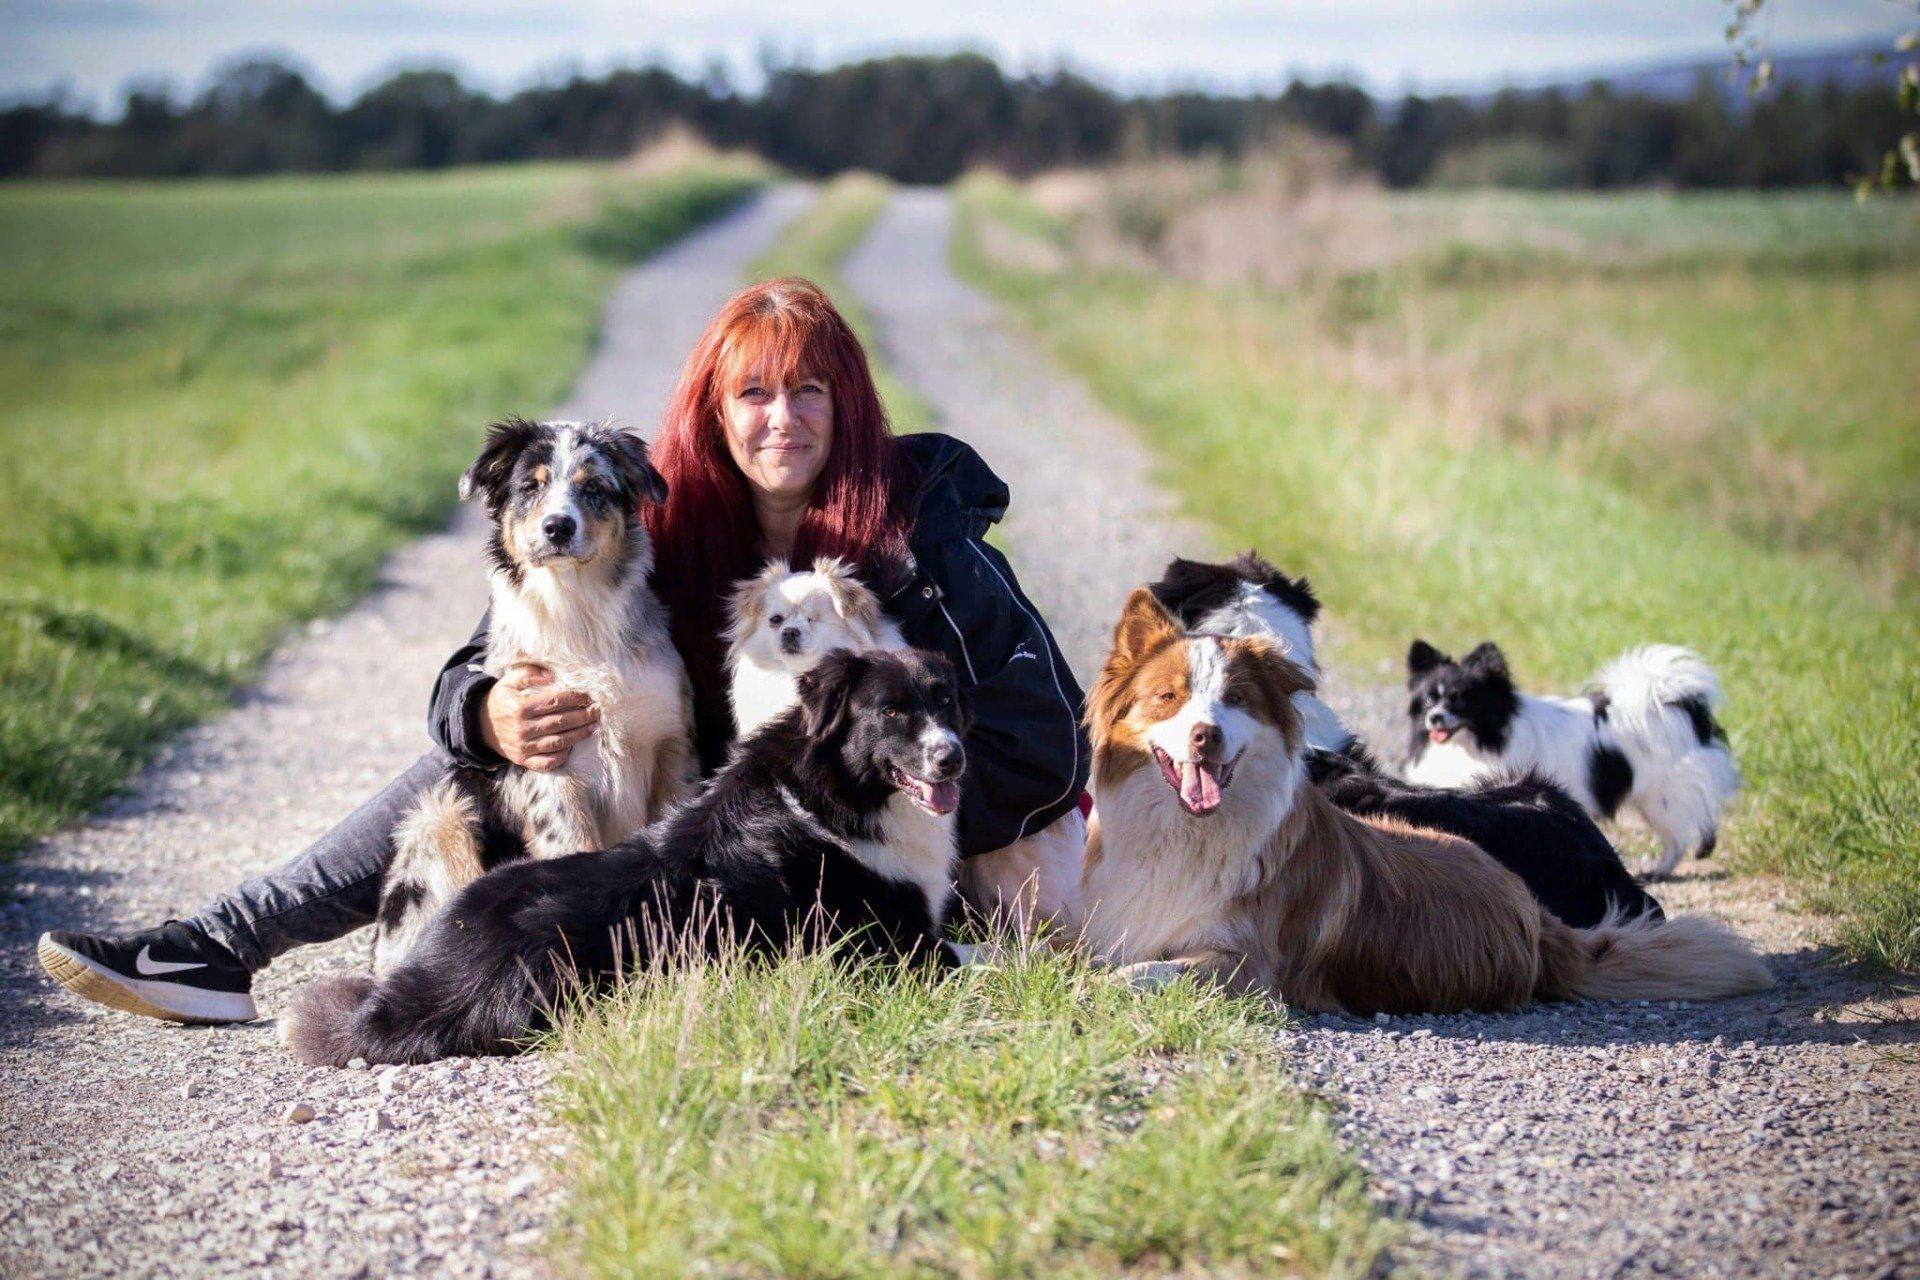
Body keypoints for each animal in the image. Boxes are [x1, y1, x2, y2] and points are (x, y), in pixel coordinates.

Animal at [284, 649, 971, 1065]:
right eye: (892, 712)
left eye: (945, 703)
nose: (953, 758)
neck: (832, 790)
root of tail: (407, 1004)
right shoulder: (899, 951)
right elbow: (983, 956)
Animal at [371, 417, 697, 975]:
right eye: (530, 486)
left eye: (594, 487)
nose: (558, 527)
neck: (576, 614)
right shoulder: (547, 765)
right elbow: (572, 849)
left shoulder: (670, 746)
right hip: (438, 821)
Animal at [1405, 640, 1740, 878]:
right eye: (1430, 700)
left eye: (1460, 700)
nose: (1434, 718)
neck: (1477, 742)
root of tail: (1681, 706)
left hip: (1662, 799)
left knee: (1680, 835)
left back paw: (1660, 871)